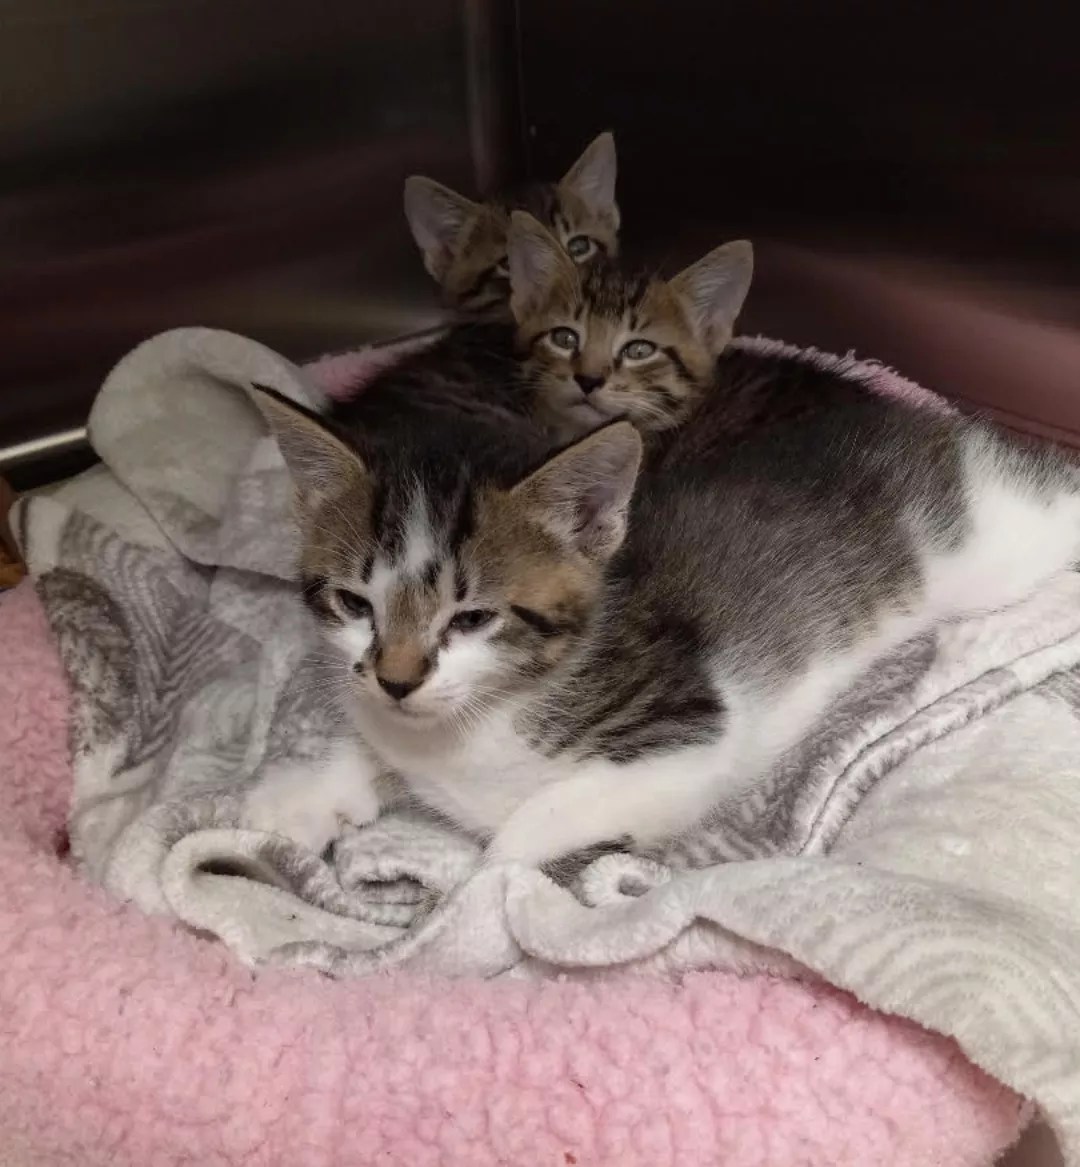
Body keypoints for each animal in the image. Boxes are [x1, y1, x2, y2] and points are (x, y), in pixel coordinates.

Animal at [246, 372, 1080, 872]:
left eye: (473, 616)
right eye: (355, 603)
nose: (397, 679)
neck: (485, 716)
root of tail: (946, 427)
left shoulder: (688, 732)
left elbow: (521, 833)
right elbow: (371, 746)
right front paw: (298, 797)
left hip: (998, 542)